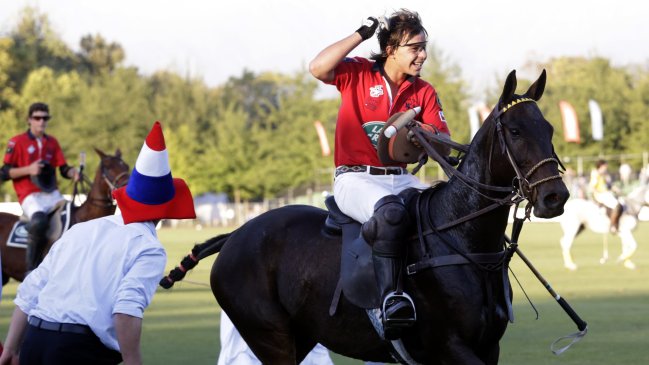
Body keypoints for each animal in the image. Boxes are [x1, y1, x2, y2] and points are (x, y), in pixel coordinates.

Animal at [165, 69, 568, 362]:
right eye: (514, 130)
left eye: (549, 128)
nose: (556, 196)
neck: (465, 239)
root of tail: (234, 235)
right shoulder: (450, 347)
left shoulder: (488, 347)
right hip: (268, 334)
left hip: (300, 336)